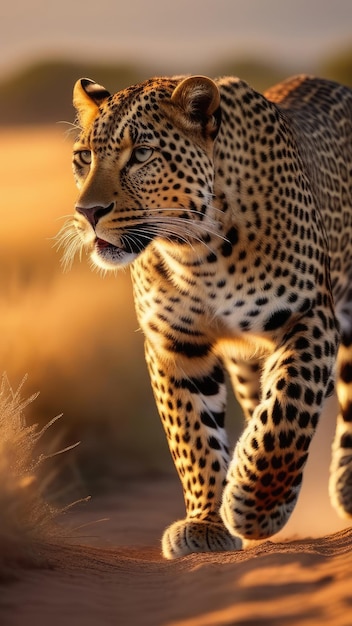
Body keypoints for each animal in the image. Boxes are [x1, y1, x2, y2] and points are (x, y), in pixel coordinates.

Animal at [59, 72, 352, 556]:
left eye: (142, 154)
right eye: (84, 158)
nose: (88, 213)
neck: (199, 252)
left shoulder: (310, 316)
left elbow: (287, 412)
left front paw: (256, 505)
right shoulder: (175, 343)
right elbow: (192, 435)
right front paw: (205, 524)